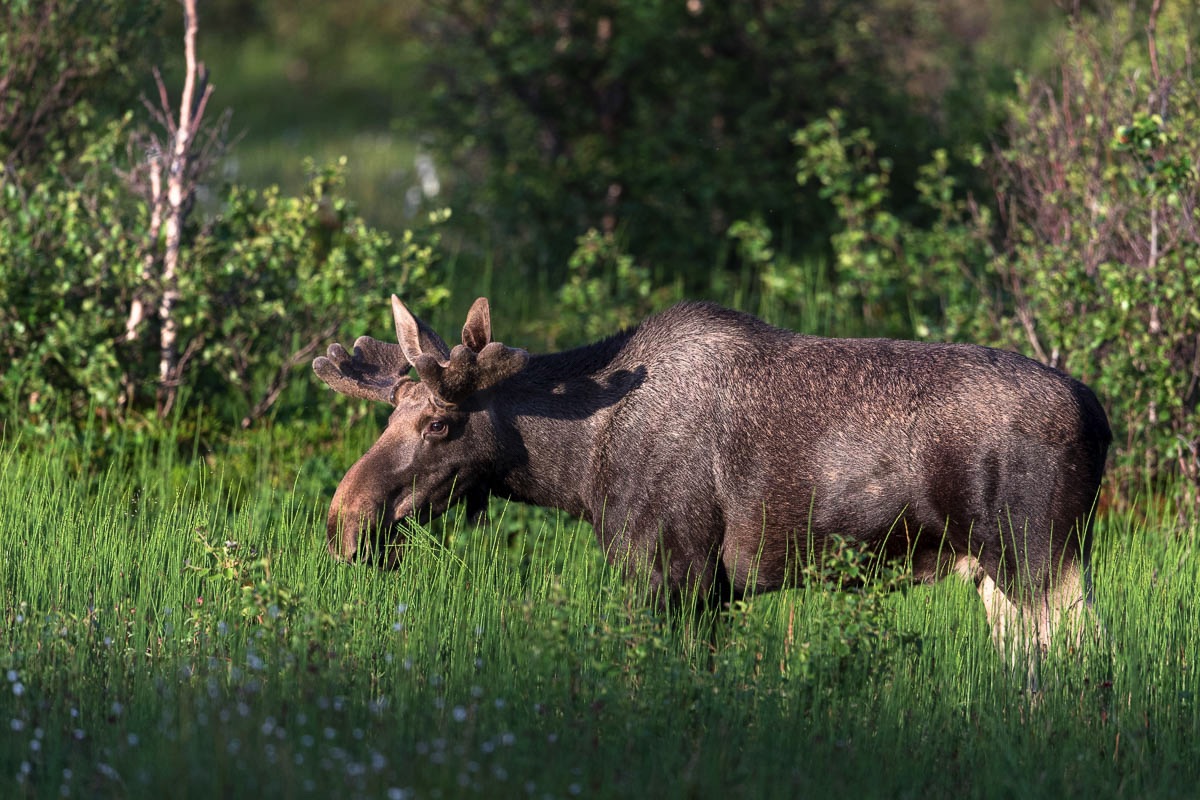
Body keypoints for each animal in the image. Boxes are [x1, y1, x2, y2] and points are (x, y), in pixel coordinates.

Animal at [314, 297, 1108, 662]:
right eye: (389, 413)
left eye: (440, 424)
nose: (345, 522)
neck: (576, 468)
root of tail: (1100, 417)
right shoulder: (710, 589)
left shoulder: (672, 571)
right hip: (997, 576)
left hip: (1040, 560)